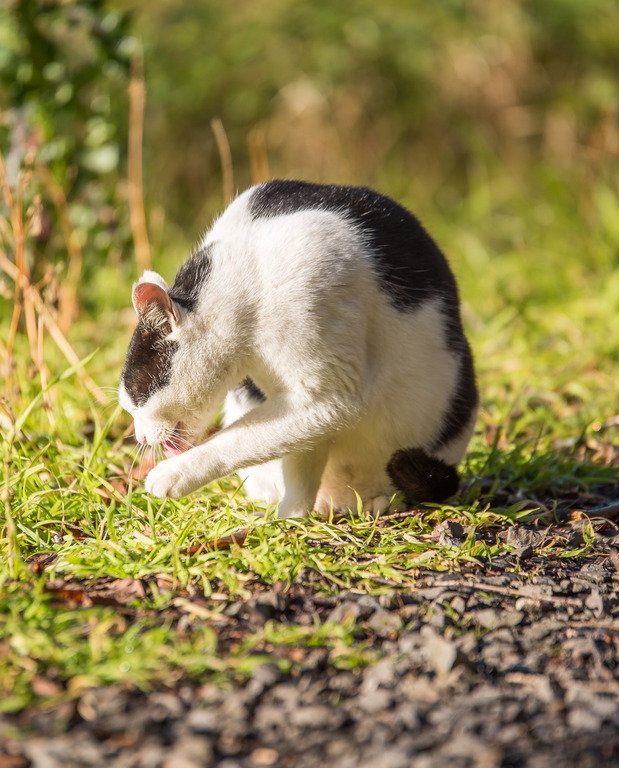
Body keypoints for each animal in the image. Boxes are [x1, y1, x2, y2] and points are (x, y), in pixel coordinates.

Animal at [121, 177, 480, 520]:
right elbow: (299, 456)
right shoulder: (301, 404)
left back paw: (372, 504)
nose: (140, 438)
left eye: (137, 399)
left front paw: (173, 474)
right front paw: (290, 519)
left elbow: (238, 439)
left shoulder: (328, 393)